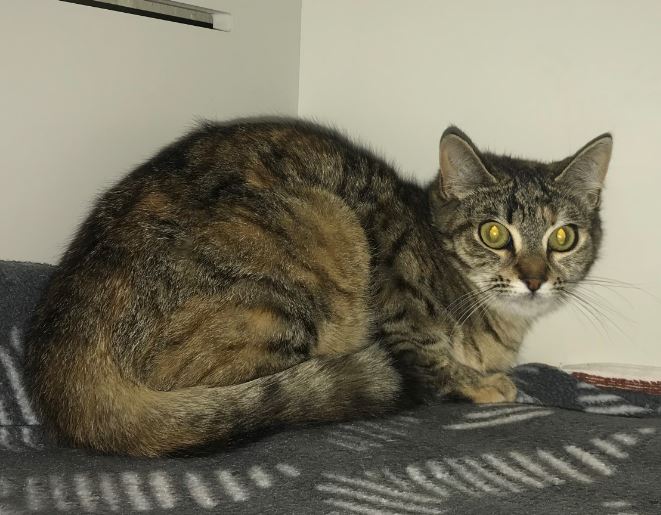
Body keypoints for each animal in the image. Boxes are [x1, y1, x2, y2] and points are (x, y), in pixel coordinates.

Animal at [26, 119, 612, 456]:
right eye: (494, 233)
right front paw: (485, 384)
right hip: (311, 236)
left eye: (563, 237)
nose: (534, 279)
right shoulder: (400, 315)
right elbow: (436, 363)